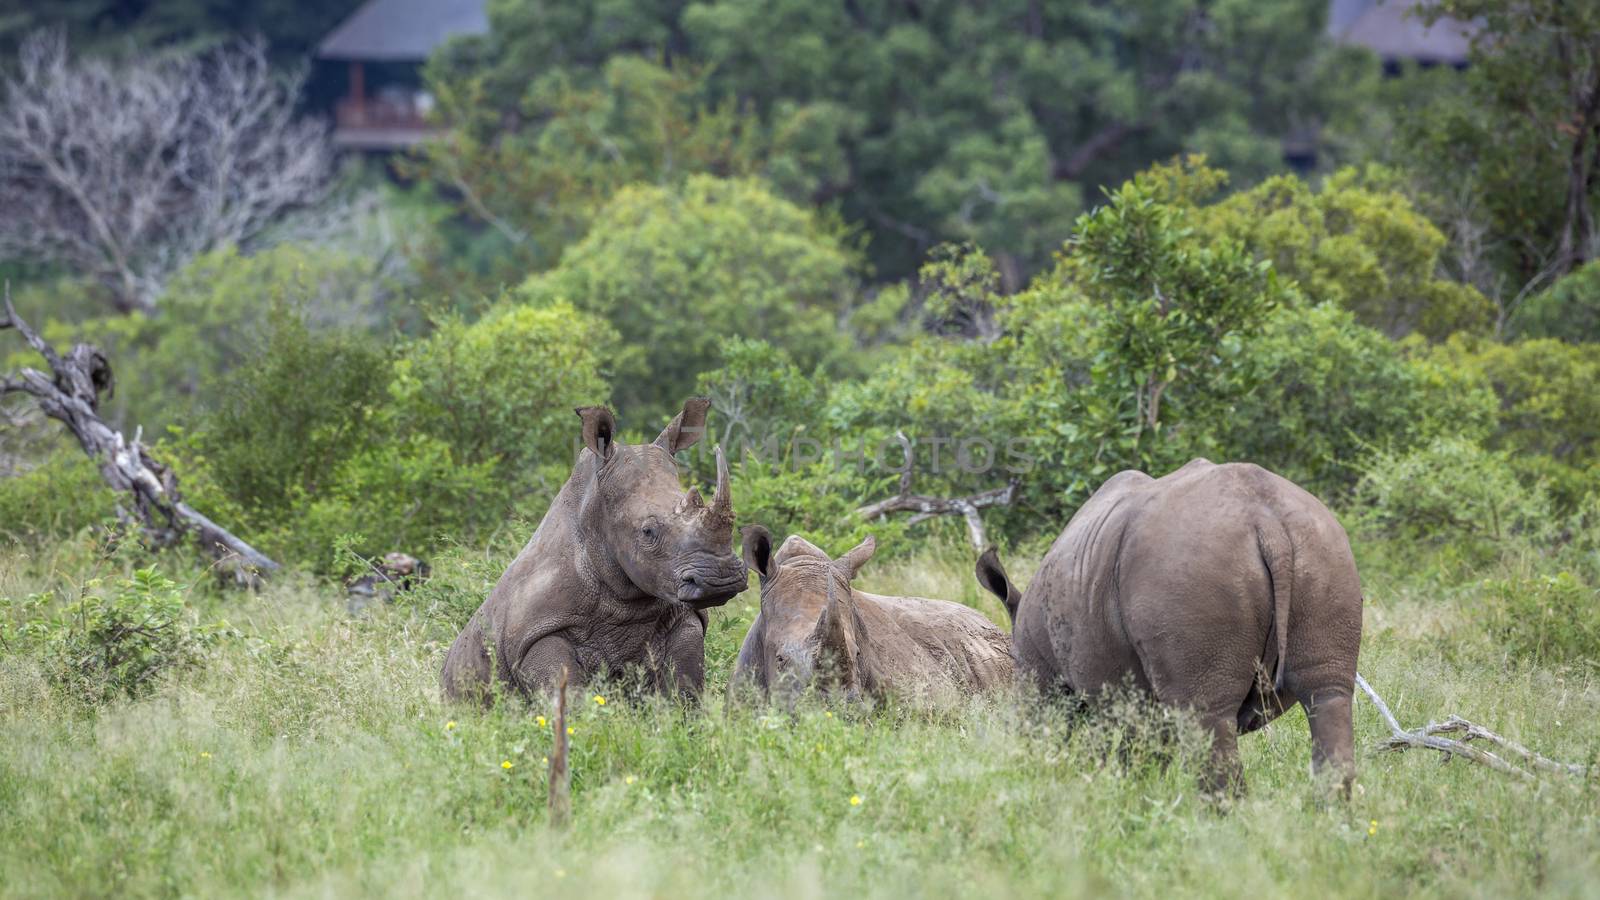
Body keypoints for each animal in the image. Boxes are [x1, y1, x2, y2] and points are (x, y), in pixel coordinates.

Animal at [444, 393, 748, 701]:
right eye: (648, 531)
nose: (720, 578)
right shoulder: (538, 633)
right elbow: (567, 694)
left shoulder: (684, 617)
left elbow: (682, 688)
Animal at [972, 458, 1363, 787]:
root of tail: (1267, 523)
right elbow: (1148, 747)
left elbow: (1117, 743)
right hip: (1322, 547)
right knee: (1327, 694)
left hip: (1188, 568)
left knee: (1206, 716)